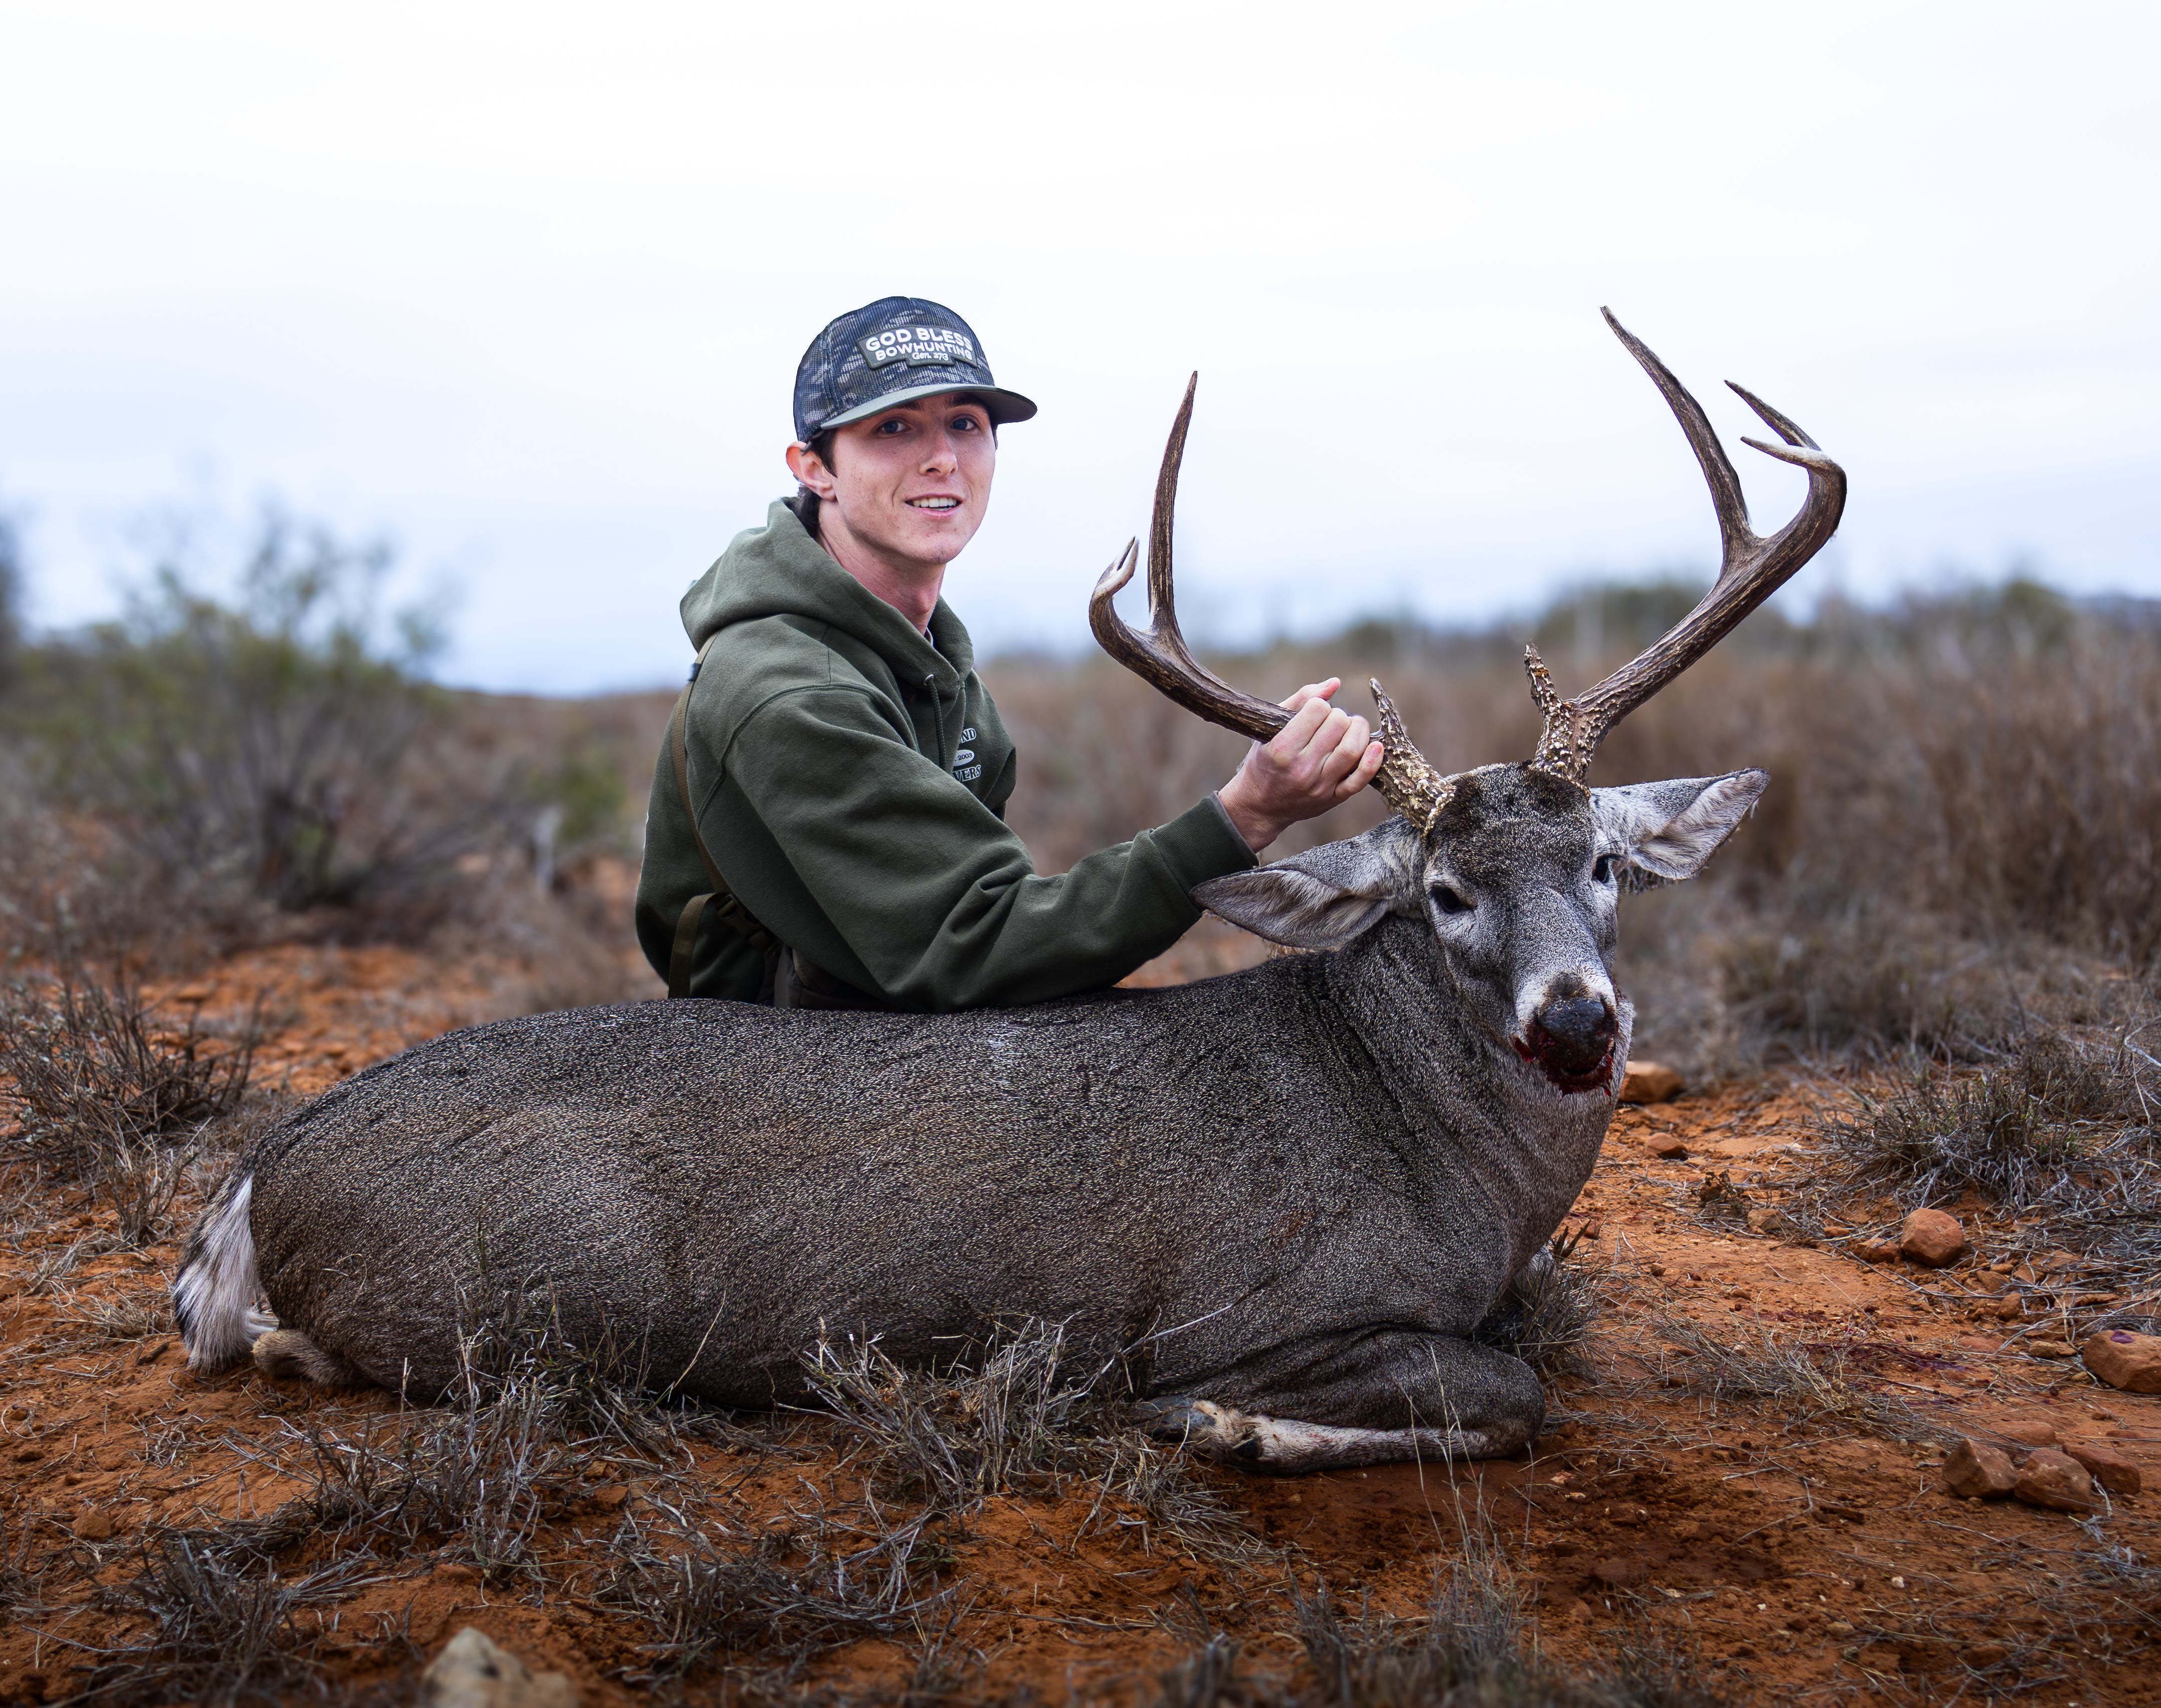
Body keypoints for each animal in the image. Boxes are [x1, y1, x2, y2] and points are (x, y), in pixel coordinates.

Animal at [173, 311, 1843, 1472]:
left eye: (1602, 862)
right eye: (1439, 890)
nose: (1573, 1021)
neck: (1445, 1162)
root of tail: (264, 1163)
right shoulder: (1240, 1310)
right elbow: (1511, 1389)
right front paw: (1234, 1429)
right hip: (541, 1296)